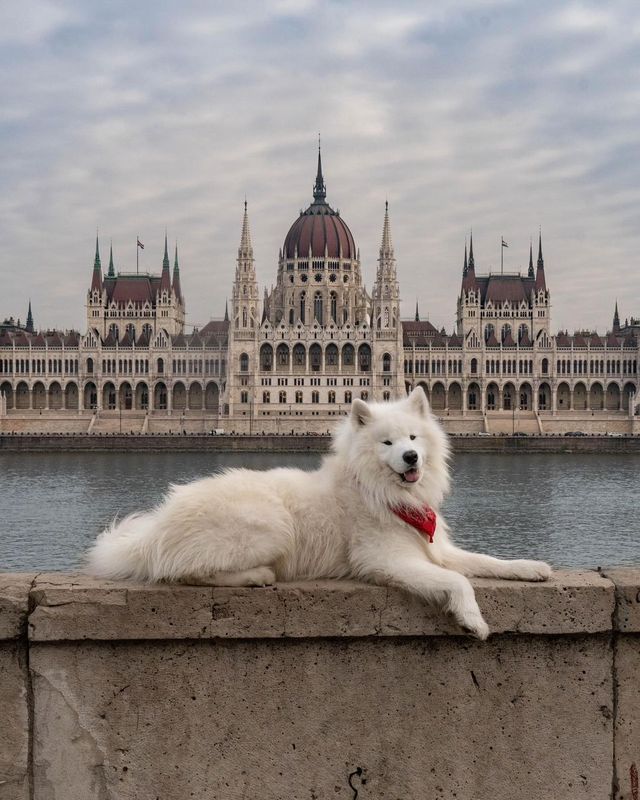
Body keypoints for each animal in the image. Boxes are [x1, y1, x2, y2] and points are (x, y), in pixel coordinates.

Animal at [89, 384, 552, 640]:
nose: (411, 457)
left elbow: (487, 561)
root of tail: (154, 529)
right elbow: (459, 581)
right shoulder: (386, 560)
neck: (381, 492)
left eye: (413, 437)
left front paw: (531, 568)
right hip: (272, 524)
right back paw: (257, 576)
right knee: (184, 572)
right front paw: (474, 621)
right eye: (387, 443)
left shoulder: (435, 547)